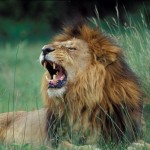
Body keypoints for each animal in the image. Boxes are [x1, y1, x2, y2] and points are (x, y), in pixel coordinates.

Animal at [0, 22, 149, 149]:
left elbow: (142, 142)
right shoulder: (55, 141)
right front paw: (94, 147)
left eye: (71, 48)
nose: (44, 49)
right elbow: (75, 145)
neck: (85, 100)